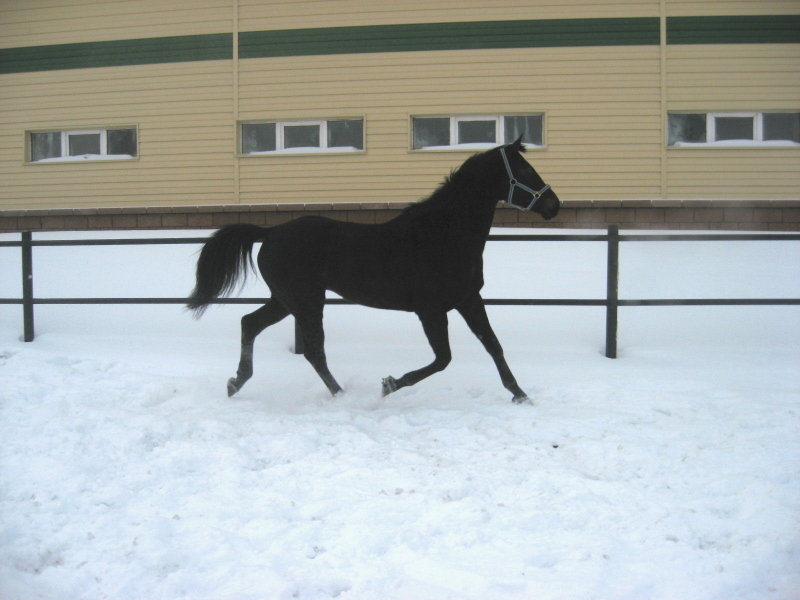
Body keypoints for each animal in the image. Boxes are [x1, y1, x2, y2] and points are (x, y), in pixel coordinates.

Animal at [188, 137, 564, 404]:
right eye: (525, 172)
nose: (554, 205)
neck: (442, 235)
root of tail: (270, 232)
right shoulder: (430, 310)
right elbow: (443, 358)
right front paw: (389, 384)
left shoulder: (469, 299)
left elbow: (493, 345)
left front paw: (521, 395)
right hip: (306, 301)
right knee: (313, 349)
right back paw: (340, 395)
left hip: (286, 300)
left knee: (250, 324)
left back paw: (236, 382)